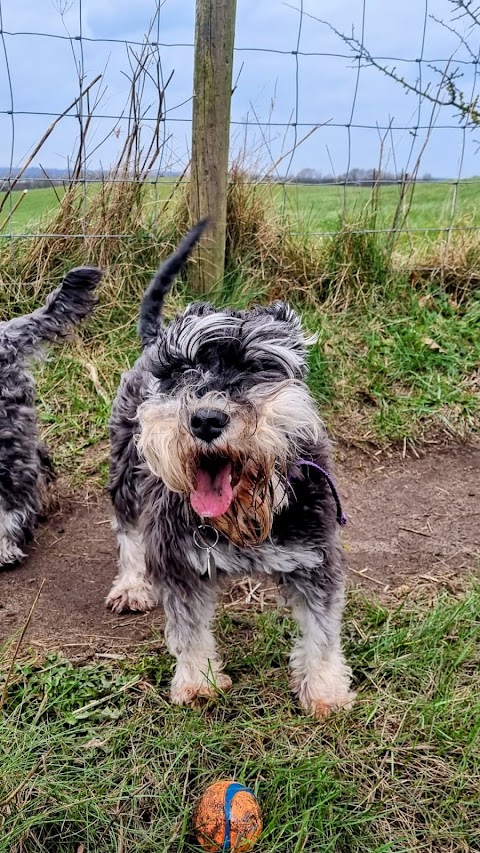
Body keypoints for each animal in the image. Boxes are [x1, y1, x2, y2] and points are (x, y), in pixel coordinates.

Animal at [108, 221, 356, 720]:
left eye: (257, 365)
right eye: (182, 369)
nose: (205, 419)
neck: (245, 513)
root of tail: (151, 341)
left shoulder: (317, 560)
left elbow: (321, 632)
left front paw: (324, 691)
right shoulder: (178, 563)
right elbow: (188, 631)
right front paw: (198, 683)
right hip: (126, 471)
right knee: (127, 530)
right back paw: (131, 585)